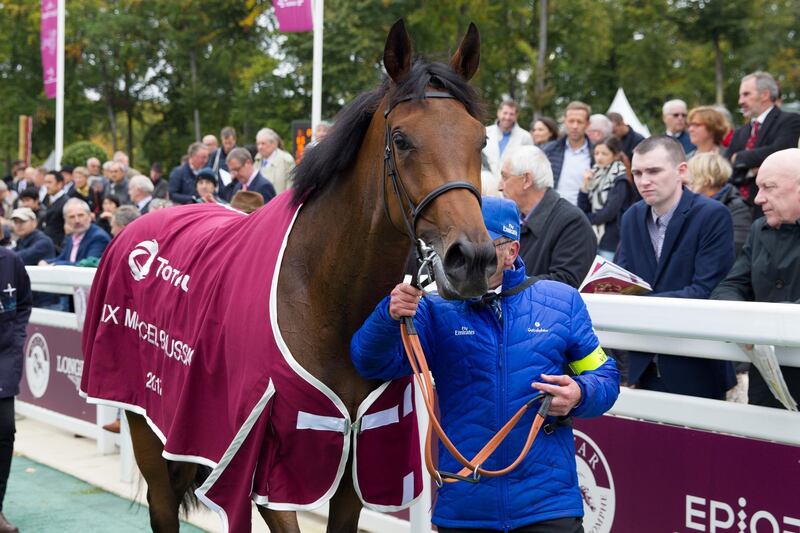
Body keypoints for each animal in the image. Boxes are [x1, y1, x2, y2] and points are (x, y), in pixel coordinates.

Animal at [81, 18, 494, 528]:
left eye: (480, 140)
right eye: (400, 139)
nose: (472, 259)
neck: (325, 298)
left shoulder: (358, 459)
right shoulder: (271, 470)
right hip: (144, 425)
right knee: (162, 505)